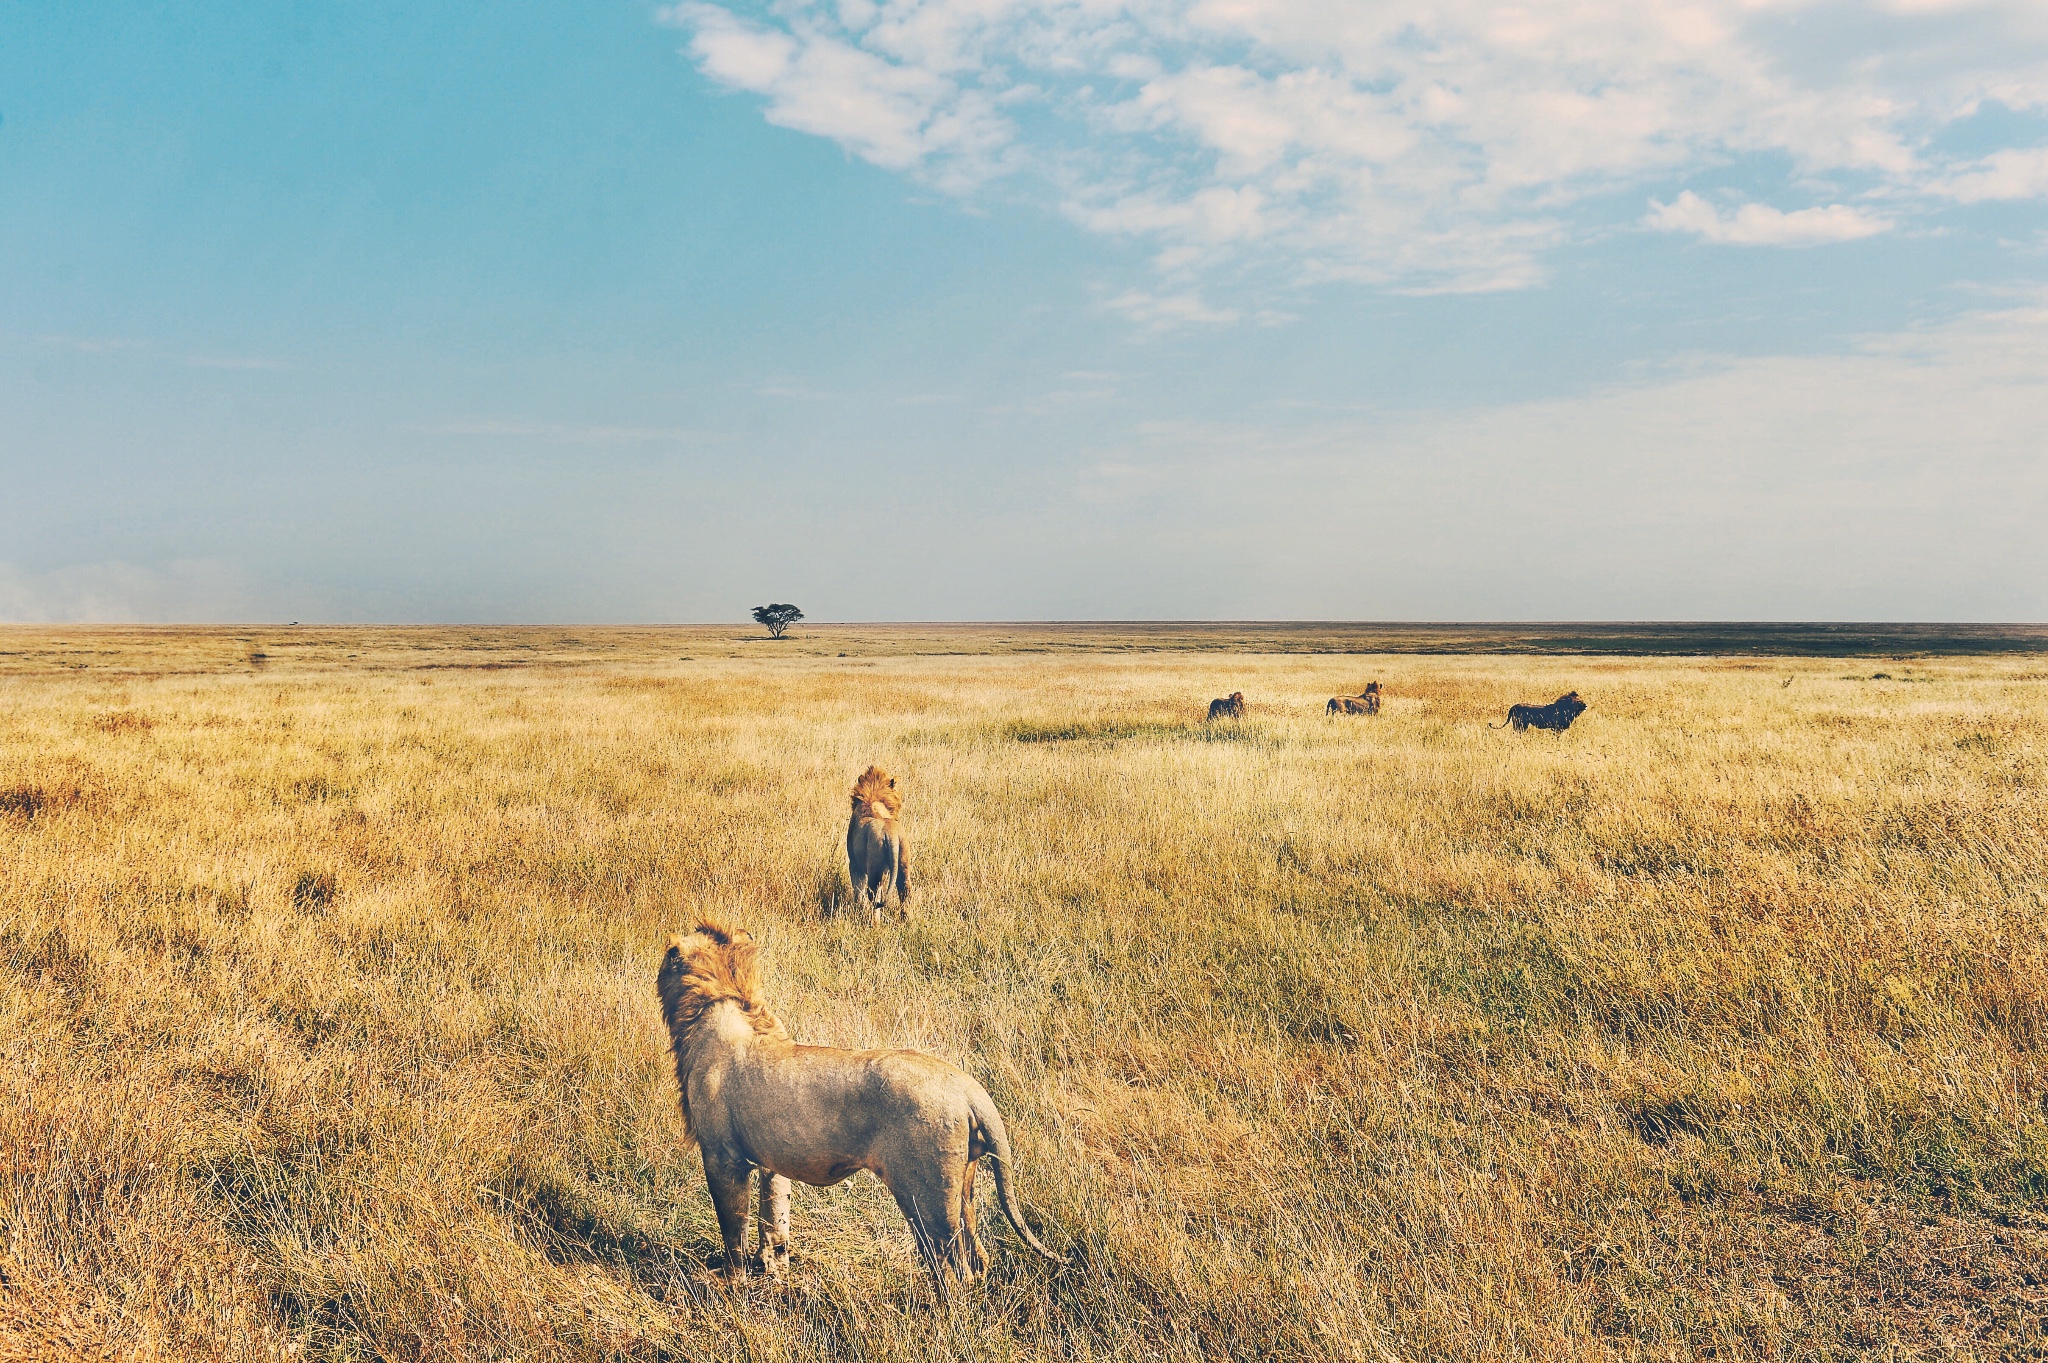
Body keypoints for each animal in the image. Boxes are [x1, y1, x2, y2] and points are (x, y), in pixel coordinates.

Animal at [663, 912, 1064, 1285]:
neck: (723, 1001)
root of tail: (970, 1089)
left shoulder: (722, 1156)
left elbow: (733, 1228)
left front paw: (731, 1282)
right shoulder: (769, 1159)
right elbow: (774, 1219)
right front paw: (774, 1268)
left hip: (926, 1196)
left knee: (953, 1269)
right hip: (963, 1185)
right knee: (978, 1255)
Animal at [847, 765, 913, 925]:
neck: (874, 798)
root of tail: (891, 834)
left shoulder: (854, 863)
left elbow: (858, 889)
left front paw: (858, 909)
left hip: (874, 868)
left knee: (875, 895)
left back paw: (874, 924)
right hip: (903, 863)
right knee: (905, 889)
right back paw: (907, 920)